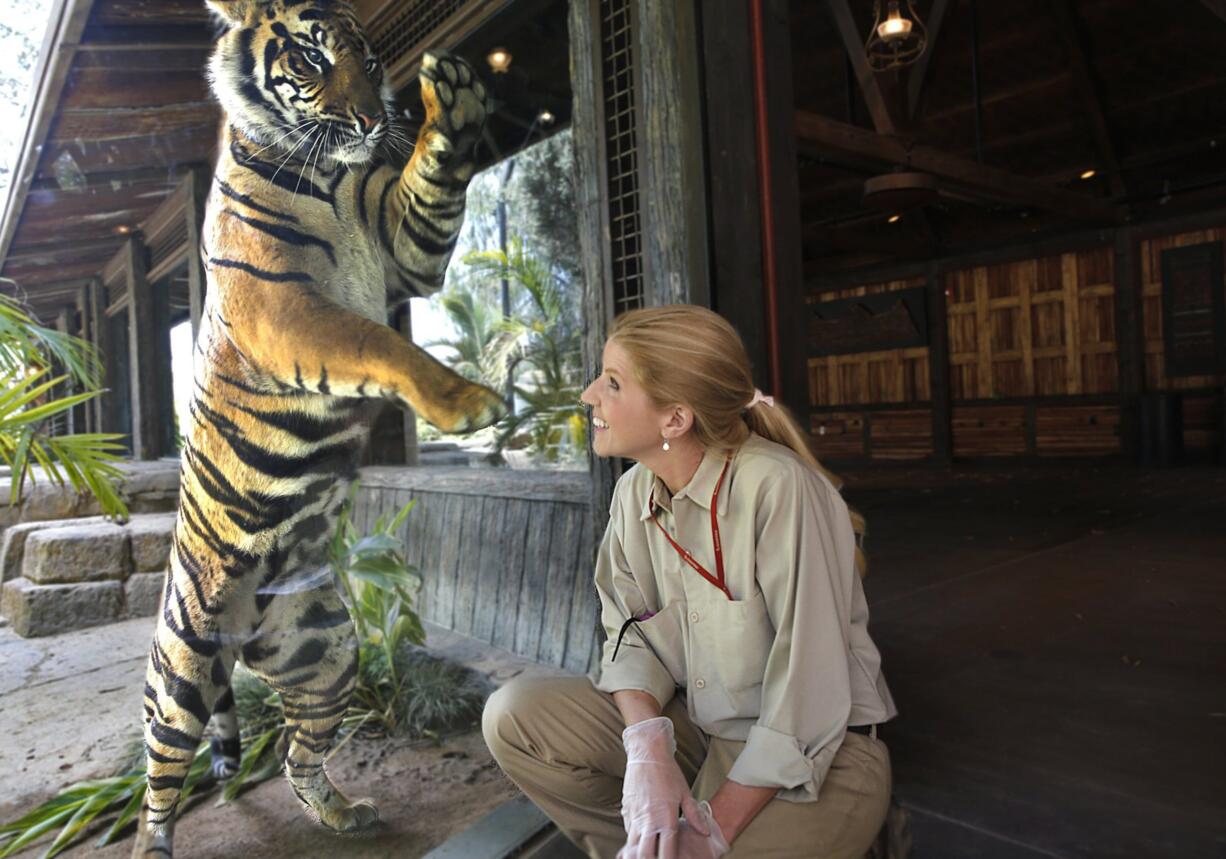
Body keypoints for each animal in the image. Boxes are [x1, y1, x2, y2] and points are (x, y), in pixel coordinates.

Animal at [129, 0, 502, 847]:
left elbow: (431, 188)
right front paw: (466, 403)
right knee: (158, 782)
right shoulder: (287, 308)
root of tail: (240, 638)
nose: (372, 117)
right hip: (180, 673)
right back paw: (153, 843)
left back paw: (340, 812)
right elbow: (380, 343)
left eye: (372, 59)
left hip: (328, 654)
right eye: (310, 58)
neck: (334, 174)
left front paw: (453, 101)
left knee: (299, 756)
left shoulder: (404, 249)